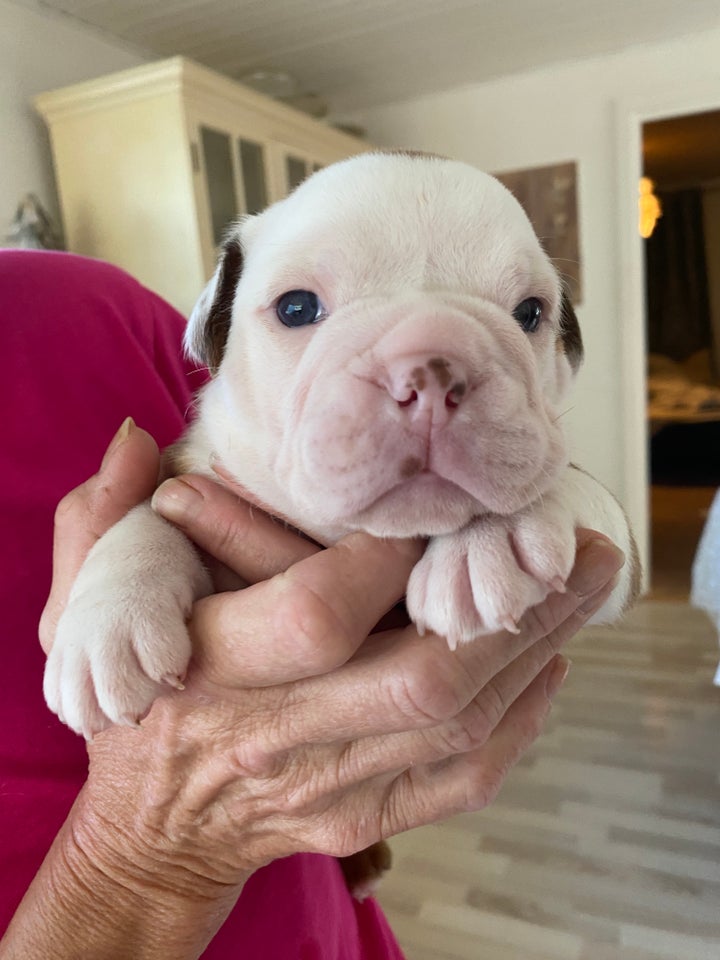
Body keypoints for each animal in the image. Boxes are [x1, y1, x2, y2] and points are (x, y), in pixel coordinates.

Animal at [43, 150, 636, 740]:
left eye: (530, 313)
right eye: (297, 309)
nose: (432, 371)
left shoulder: (615, 566)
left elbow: (573, 488)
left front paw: (492, 541)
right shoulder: (192, 469)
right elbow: (149, 512)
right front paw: (108, 622)